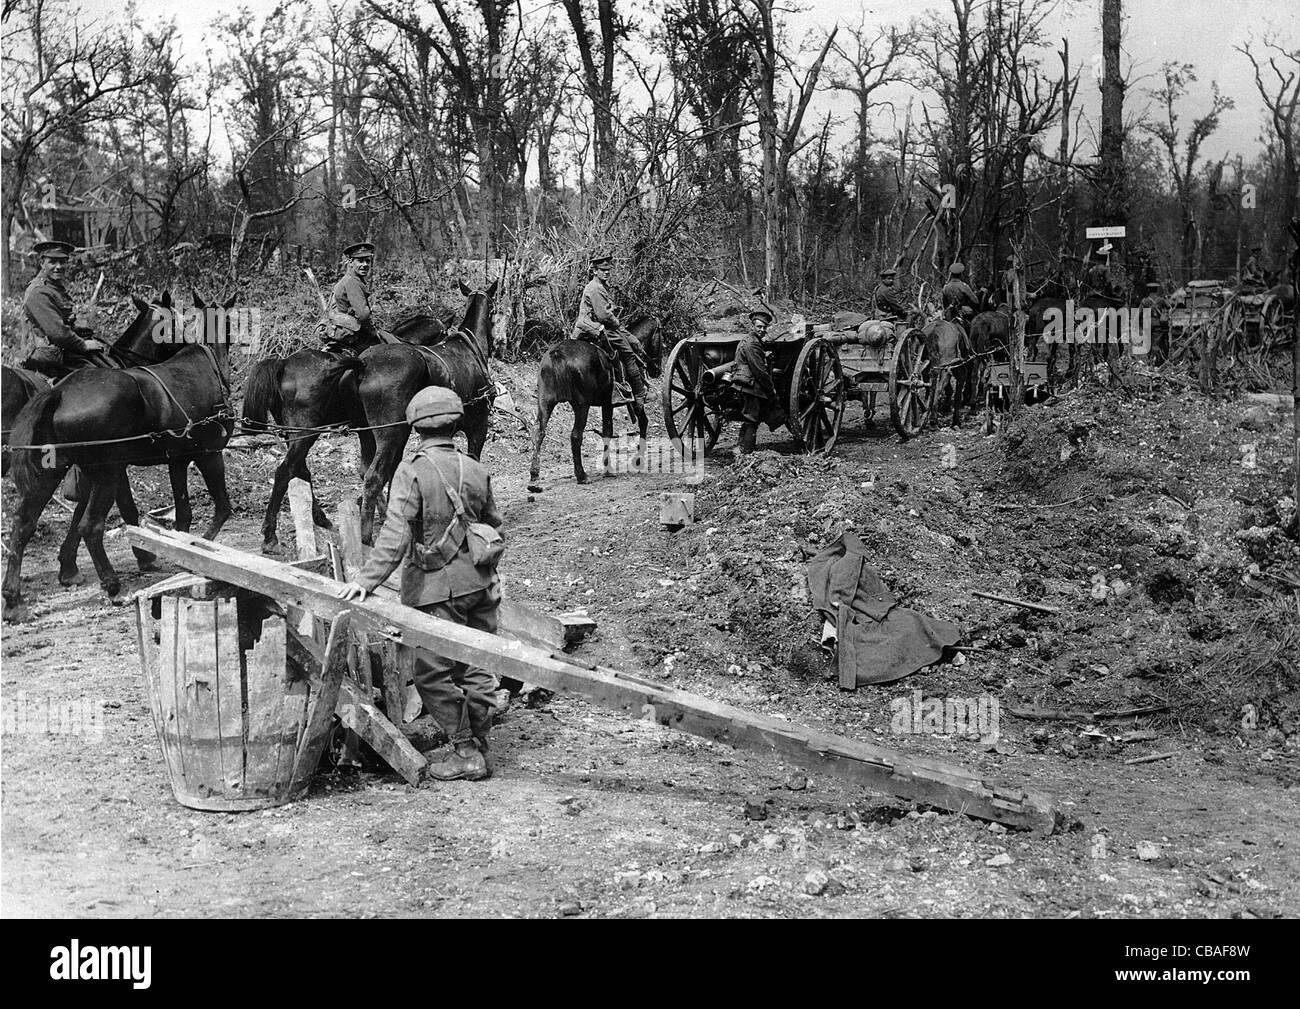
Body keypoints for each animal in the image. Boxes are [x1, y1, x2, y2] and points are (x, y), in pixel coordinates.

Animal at [4, 291, 236, 605]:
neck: (207, 361)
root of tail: (59, 392)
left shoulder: (174, 460)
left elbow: (182, 513)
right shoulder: (208, 455)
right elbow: (220, 508)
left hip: (51, 473)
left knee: (24, 523)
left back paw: (12, 595)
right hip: (106, 472)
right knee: (90, 526)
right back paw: (112, 583)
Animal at [525, 313, 660, 491]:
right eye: (660, 336)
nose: (657, 370)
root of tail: (557, 353)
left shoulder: (606, 404)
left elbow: (607, 432)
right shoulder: (618, 404)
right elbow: (637, 423)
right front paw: (632, 461)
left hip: (545, 402)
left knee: (539, 432)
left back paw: (534, 476)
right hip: (582, 406)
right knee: (576, 436)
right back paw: (581, 475)